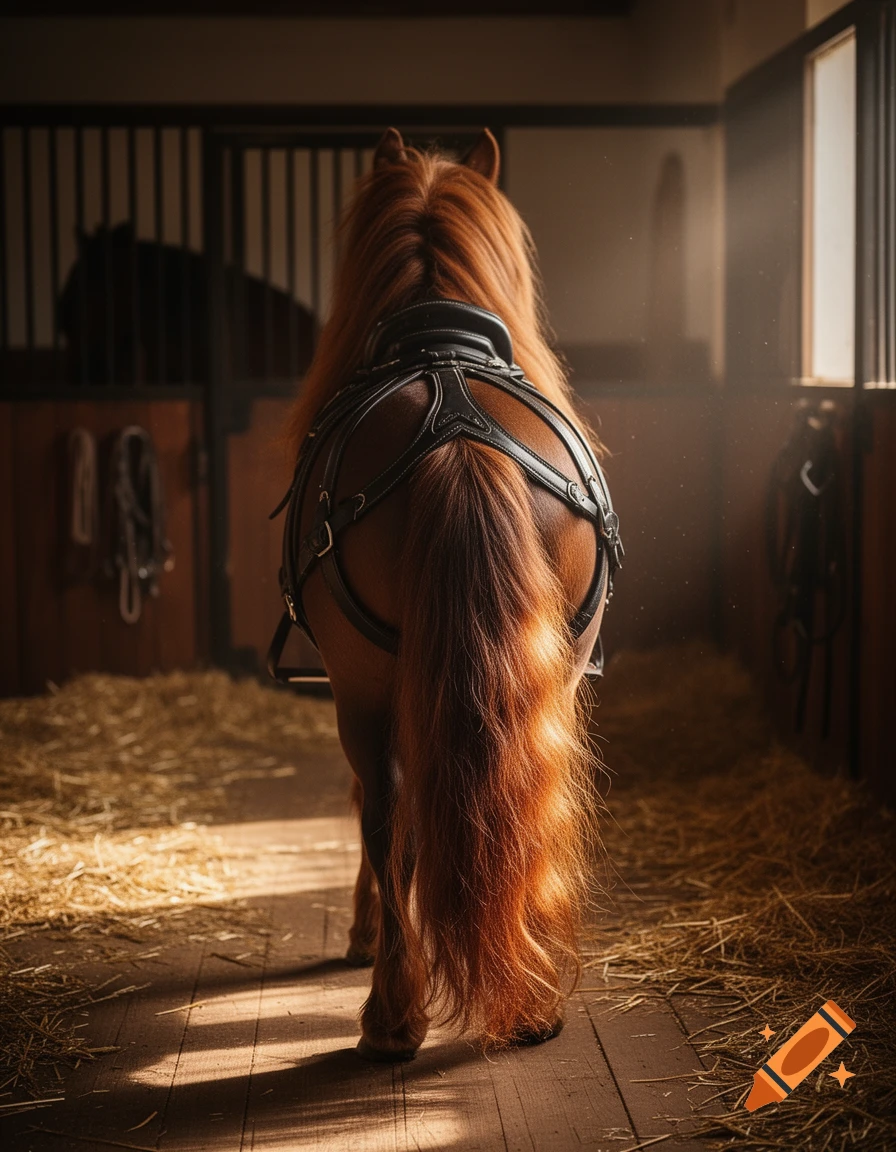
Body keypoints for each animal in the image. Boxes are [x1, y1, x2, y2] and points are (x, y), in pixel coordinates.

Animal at [272, 128, 622, 1061]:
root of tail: (458, 436)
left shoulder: (359, 687)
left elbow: (379, 820)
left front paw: (366, 937)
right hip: (544, 677)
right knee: (524, 805)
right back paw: (529, 998)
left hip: (363, 688)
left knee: (386, 815)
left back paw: (392, 1014)